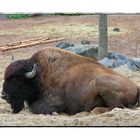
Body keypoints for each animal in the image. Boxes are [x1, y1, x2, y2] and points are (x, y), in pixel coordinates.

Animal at [1, 47, 140, 114]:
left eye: (18, 80)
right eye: (5, 77)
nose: (3, 95)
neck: (40, 74)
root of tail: (137, 88)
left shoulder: (52, 102)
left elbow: (33, 108)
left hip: (100, 81)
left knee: (118, 107)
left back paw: (94, 111)